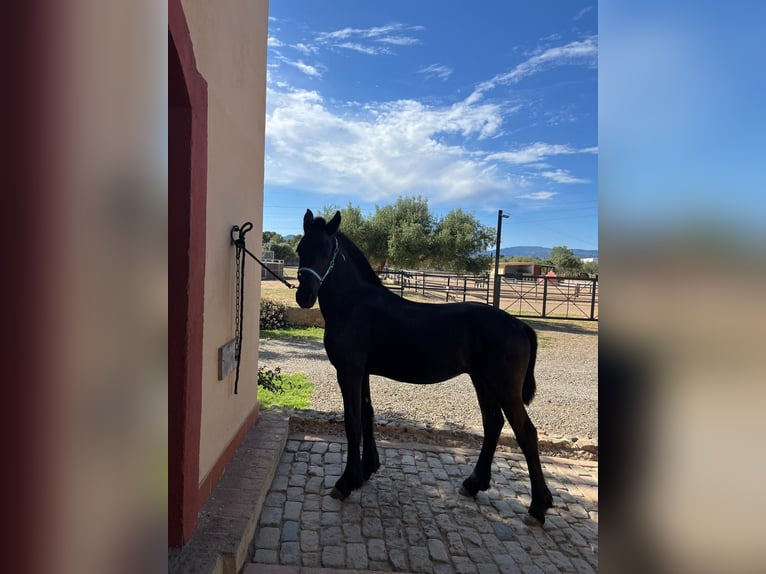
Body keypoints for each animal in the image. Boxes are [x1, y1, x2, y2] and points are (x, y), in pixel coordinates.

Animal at [296, 210, 556, 528]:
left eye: (326, 251)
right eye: (300, 249)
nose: (304, 297)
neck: (354, 304)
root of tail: (520, 325)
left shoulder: (349, 372)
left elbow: (353, 421)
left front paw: (346, 482)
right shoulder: (363, 372)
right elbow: (368, 414)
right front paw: (367, 469)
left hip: (505, 389)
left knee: (526, 434)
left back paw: (538, 507)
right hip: (482, 381)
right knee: (493, 423)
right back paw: (474, 483)